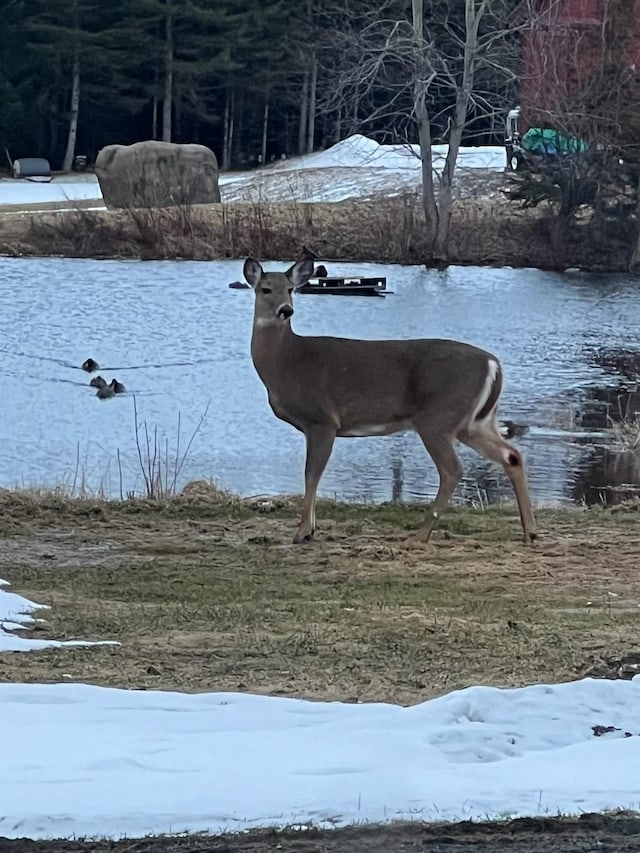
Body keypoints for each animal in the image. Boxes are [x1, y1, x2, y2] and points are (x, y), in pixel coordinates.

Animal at [244, 250, 536, 544]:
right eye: (266, 289)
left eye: (290, 289)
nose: (286, 310)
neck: (286, 362)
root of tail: (493, 364)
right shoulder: (314, 426)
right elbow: (312, 475)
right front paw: (311, 528)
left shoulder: (322, 419)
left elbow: (311, 474)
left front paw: (303, 531)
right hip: (474, 423)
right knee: (511, 456)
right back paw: (530, 532)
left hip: (438, 418)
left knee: (453, 469)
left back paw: (421, 534)